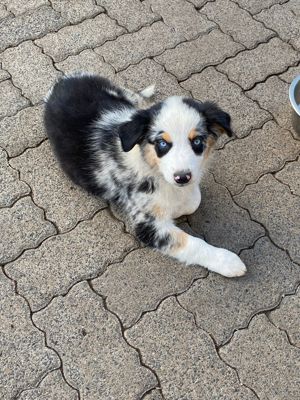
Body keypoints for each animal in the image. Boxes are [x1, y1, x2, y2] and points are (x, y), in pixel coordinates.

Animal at [44, 72, 246, 278]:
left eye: (197, 141)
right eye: (162, 144)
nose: (182, 177)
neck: (151, 167)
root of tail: (64, 80)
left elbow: (194, 200)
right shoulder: (146, 223)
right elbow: (193, 243)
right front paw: (228, 262)